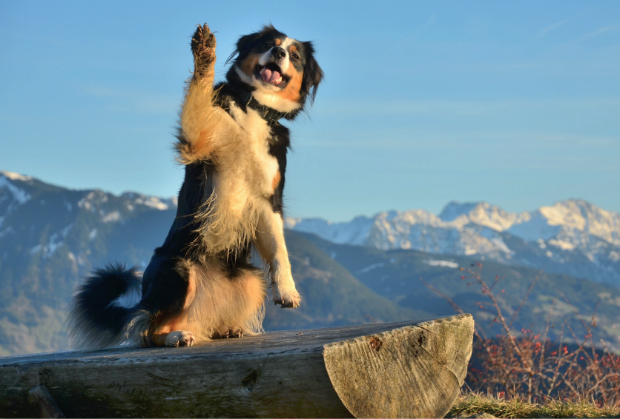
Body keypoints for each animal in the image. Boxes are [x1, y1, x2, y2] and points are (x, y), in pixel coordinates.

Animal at [69, 24, 324, 350]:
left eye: (295, 56)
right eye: (269, 43)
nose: (278, 53)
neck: (254, 108)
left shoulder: (269, 199)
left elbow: (280, 250)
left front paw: (287, 290)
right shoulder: (198, 140)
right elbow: (199, 92)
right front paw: (204, 53)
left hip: (250, 279)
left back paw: (223, 328)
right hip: (178, 269)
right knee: (146, 327)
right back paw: (176, 335)